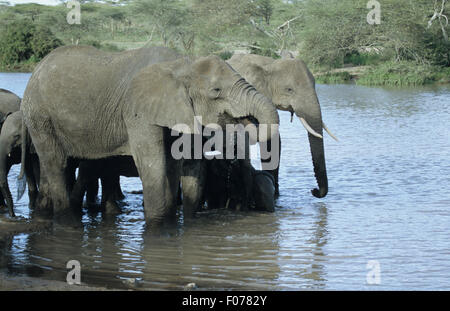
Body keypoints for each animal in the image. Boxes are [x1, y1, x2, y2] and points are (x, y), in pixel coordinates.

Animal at [22, 46, 282, 225]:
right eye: (216, 91)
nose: (248, 120)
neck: (180, 64)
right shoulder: (137, 111)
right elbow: (153, 164)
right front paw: (158, 228)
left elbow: (183, 167)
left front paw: (179, 223)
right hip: (40, 115)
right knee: (56, 162)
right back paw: (68, 222)